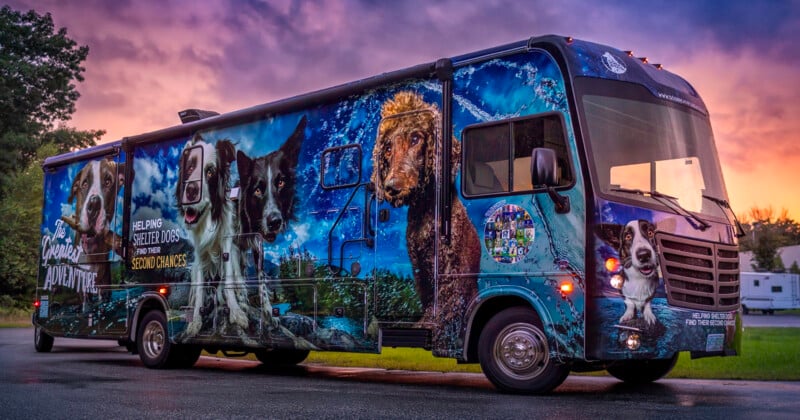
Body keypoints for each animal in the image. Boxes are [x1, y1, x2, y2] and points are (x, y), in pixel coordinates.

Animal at [177, 135, 247, 334]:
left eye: (210, 172)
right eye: (190, 168)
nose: (191, 191)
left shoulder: (228, 245)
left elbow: (229, 280)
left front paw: (236, 312)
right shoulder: (199, 254)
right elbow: (200, 290)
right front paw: (195, 322)